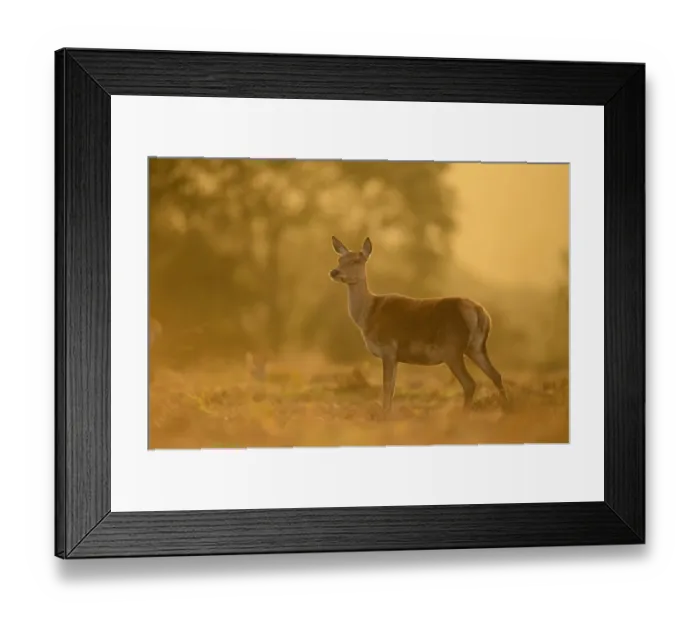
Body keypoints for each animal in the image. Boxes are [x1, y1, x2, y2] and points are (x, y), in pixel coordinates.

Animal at [329, 236, 508, 415]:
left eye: (356, 260)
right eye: (340, 259)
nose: (334, 272)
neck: (367, 315)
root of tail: (480, 313)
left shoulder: (388, 348)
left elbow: (387, 387)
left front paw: (384, 414)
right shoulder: (395, 356)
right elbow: (392, 388)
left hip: (452, 348)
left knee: (470, 383)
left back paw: (463, 414)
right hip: (476, 347)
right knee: (496, 375)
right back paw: (506, 408)